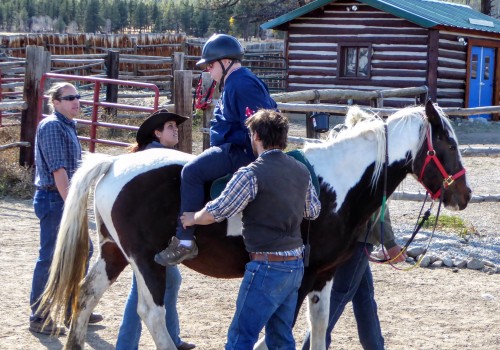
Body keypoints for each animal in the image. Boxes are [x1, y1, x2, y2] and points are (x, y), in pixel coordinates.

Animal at [38, 100, 468, 348]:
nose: (463, 194)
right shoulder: (301, 276)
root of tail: (114, 164)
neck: (335, 184)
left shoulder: (324, 275)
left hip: (114, 253)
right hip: (145, 261)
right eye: (448, 145)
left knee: (85, 294)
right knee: (152, 314)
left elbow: (319, 326)